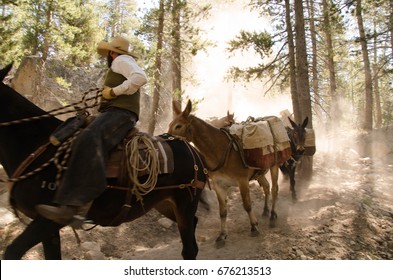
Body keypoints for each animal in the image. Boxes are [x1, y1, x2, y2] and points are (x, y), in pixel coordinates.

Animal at [0, 64, 207, 260]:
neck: (38, 143)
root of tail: (193, 150)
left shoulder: (47, 221)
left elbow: (13, 251)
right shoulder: (46, 227)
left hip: (185, 203)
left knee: (190, 248)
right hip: (164, 203)